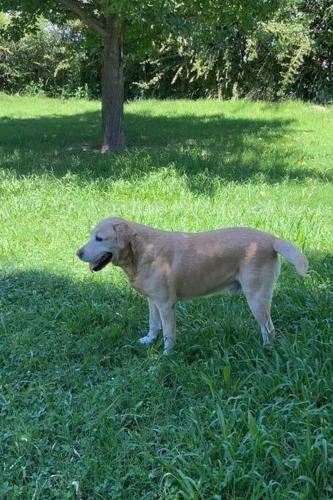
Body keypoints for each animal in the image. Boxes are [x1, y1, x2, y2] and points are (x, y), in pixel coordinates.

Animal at [76, 217, 308, 354]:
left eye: (99, 238)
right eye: (91, 236)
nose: (77, 253)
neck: (141, 251)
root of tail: (271, 238)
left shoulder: (166, 305)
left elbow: (169, 334)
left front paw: (166, 355)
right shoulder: (153, 301)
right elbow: (153, 324)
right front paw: (149, 340)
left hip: (257, 298)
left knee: (269, 328)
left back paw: (266, 349)